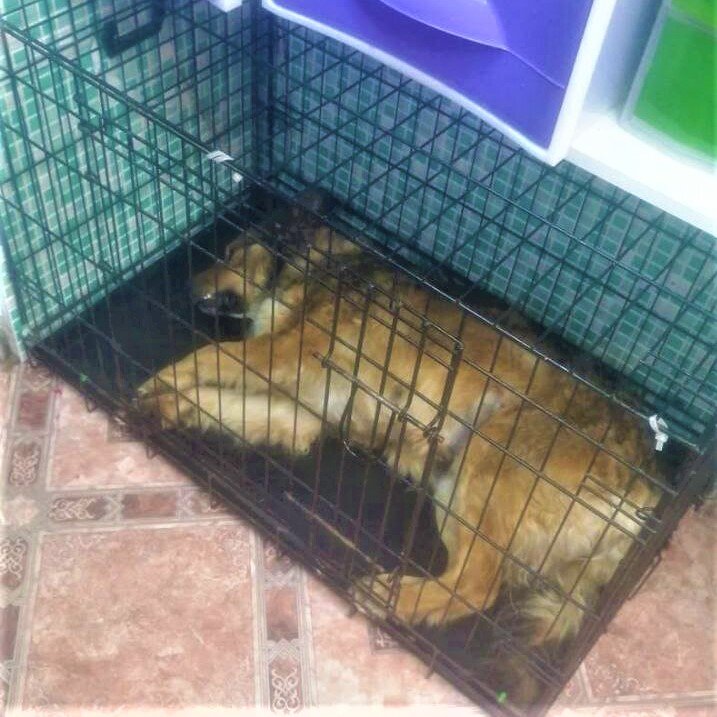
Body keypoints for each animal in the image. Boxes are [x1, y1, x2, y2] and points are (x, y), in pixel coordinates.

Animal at [137, 201, 664, 651]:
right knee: (469, 576)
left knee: (478, 586)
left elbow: (210, 353)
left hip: (493, 456)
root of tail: (643, 492)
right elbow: (221, 400)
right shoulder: (302, 416)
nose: (185, 286)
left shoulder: (285, 353)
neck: (319, 267)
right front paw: (172, 401)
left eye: (229, 252)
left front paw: (159, 379)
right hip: (453, 490)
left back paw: (391, 597)